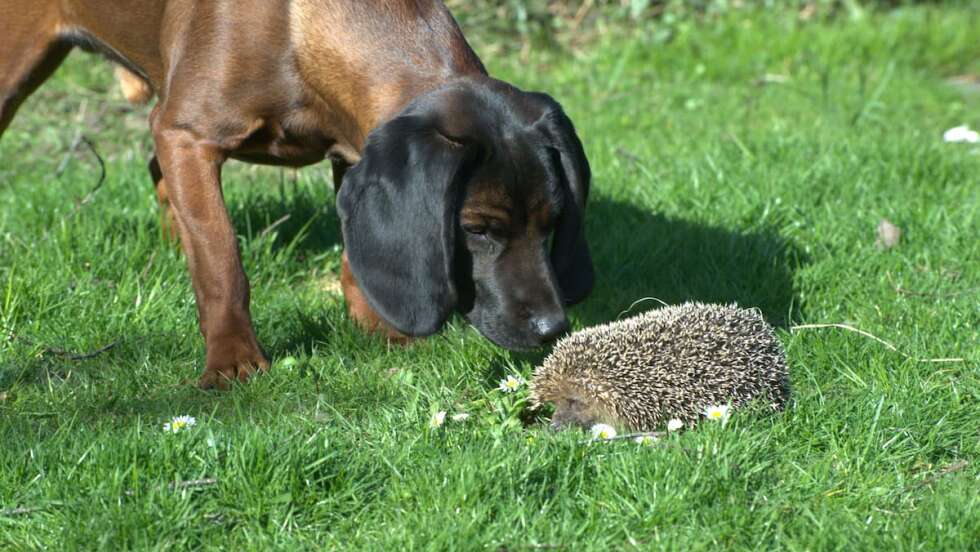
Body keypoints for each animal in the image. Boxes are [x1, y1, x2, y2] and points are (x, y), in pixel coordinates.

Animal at [0, 0, 588, 388]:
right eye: (477, 230)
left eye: (553, 222)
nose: (554, 328)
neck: (297, 35)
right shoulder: (186, 133)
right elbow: (220, 260)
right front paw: (232, 358)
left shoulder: (355, 153)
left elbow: (355, 255)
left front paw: (380, 328)